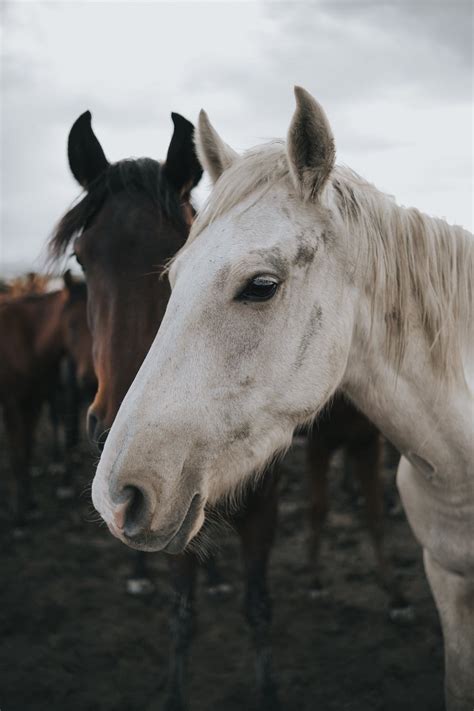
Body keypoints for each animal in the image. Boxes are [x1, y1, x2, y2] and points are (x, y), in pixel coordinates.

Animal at [0, 276, 95, 524]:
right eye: (71, 325)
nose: (90, 380)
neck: (26, 339)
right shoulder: (13, 405)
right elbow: (18, 454)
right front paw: (20, 513)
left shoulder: (34, 402)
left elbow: (28, 449)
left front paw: (30, 504)